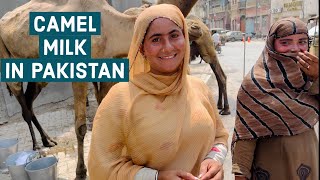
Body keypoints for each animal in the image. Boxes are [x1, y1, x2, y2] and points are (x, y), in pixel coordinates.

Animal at [0, 0, 198, 179]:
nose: (194, 29)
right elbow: (81, 126)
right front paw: (81, 172)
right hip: (7, 55)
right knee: (21, 97)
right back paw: (36, 146)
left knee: (29, 99)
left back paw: (47, 140)